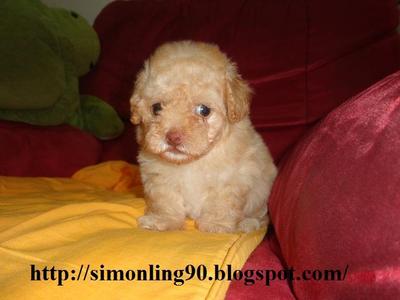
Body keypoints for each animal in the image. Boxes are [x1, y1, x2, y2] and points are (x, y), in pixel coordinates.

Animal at [130, 40, 276, 232]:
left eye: (203, 110)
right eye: (156, 108)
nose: (173, 137)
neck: (191, 161)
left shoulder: (230, 178)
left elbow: (222, 203)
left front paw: (216, 224)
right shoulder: (159, 177)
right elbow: (165, 201)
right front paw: (163, 220)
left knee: (261, 216)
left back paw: (247, 224)